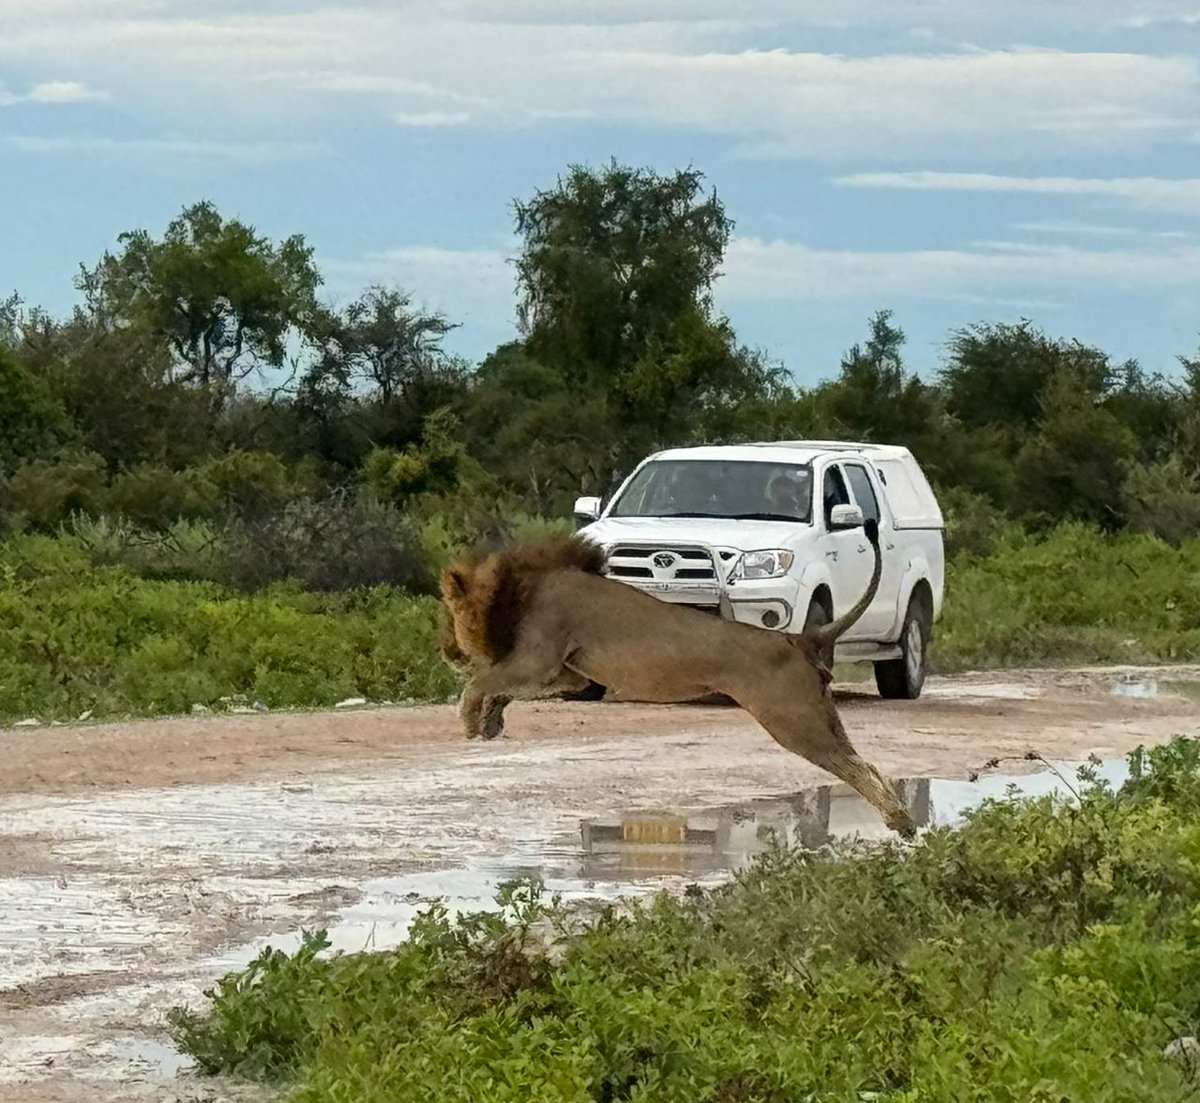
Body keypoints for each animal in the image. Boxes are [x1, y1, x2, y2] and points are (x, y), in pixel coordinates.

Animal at [439, 520, 915, 838]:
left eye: (449, 614)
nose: (447, 651)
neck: (522, 586)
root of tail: (798, 638)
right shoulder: (566, 673)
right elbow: (504, 689)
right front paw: (491, 723)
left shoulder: (540, 657)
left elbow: (484, 680)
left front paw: (470, 720)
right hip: (819, 711)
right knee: (864, 759)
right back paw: (903, 820)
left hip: (791, 717)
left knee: (852, 765)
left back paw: (900, 823)